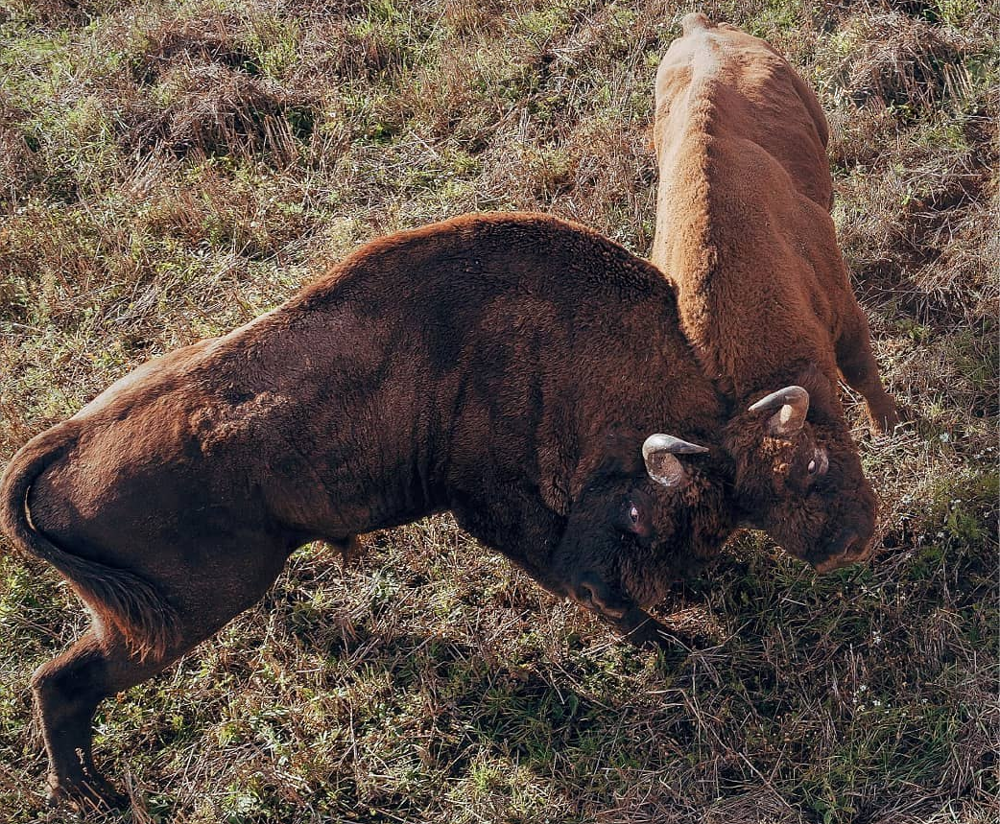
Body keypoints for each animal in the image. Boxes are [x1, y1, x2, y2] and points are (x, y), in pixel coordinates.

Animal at [1, 212, 868, 812]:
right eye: (640, 512)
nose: (855, 540)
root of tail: (67, 438)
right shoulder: (493, 501)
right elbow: (549, 559)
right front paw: (668, 642)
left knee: (63, 683)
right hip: (176, 616)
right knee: (61, 682)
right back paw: (91, 795)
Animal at [648, 14, 900, 572]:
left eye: (810, 463)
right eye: (756, 517)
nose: (840, 551)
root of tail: (699, 26)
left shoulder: (844, 313)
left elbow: (861, 371)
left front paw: (889, 427)